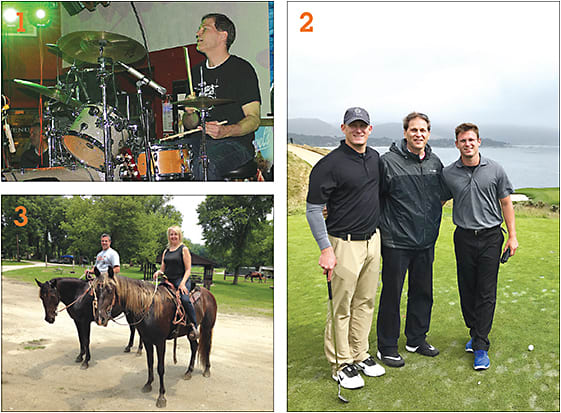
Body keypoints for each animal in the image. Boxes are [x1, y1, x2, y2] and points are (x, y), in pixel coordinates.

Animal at [92, 266, 217, 408]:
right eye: (96, 290)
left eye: (110, 290)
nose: (100, 318)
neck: (149, 307)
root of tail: (209, 294)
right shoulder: (147, 341)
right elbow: (150, 363)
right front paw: (148, 384)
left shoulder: (160, 342)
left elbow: (160, 368)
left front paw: (161, 396)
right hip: (189, 334)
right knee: (195, 347)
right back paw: (189, 372)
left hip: (207, 327)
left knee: (207, 347)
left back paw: (206, 370)